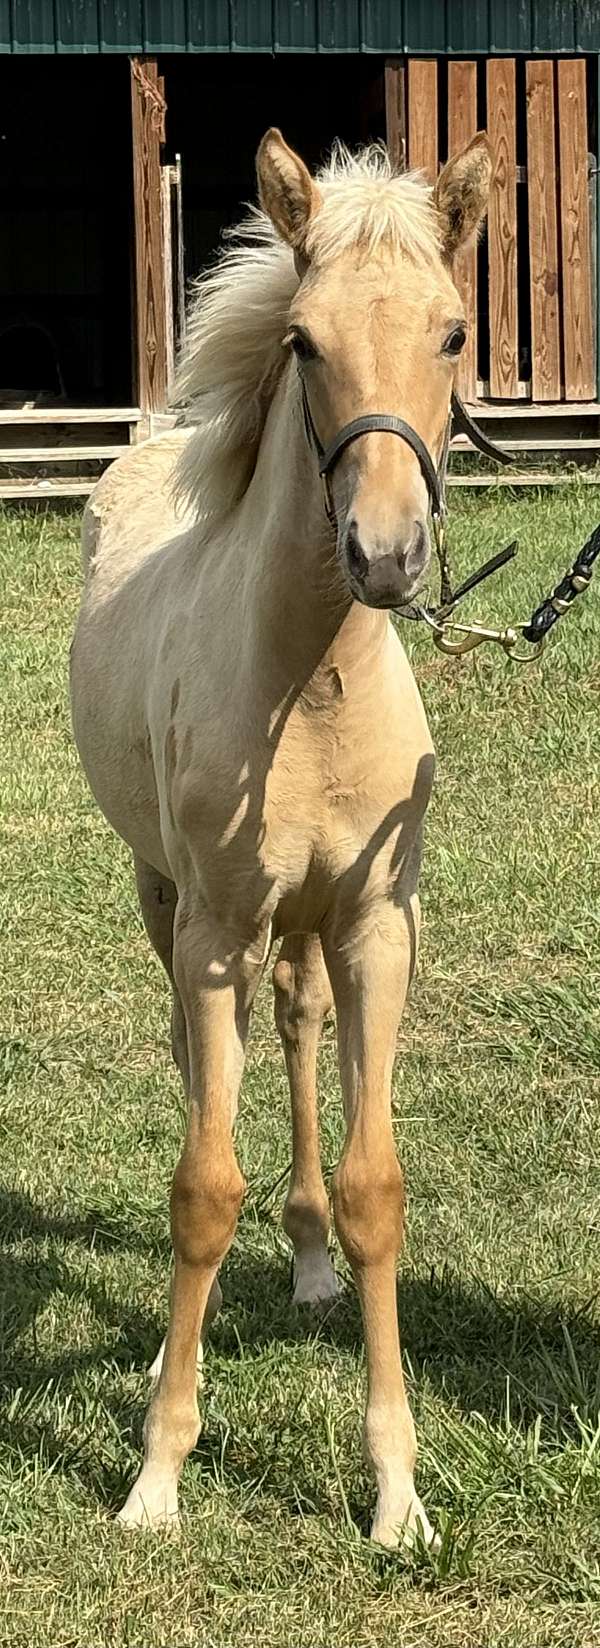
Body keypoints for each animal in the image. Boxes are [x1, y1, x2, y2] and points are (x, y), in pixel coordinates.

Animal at [70, 127, 492, 1547]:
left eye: (455, 330)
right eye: (304, 341)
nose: (385, 554)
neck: (312, 682)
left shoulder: (375, 927)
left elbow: (375, 1188)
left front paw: (398, 1492)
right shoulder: (213, 926)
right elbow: (202, 1188)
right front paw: (155, 1473)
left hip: (300, 924)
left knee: (298, 1027)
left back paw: (304, 1257)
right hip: (170, 901)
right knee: (210, 1054)